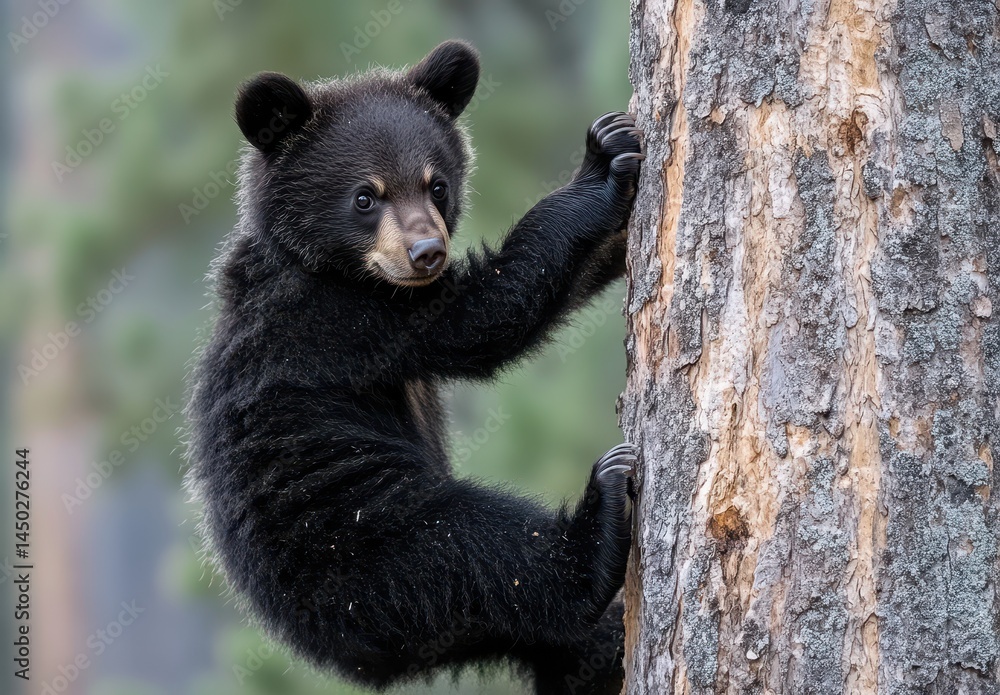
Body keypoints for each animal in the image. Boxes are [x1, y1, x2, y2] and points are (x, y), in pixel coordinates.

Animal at [184, 40, 643, 695]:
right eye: (365, 195)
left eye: (437, 185)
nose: (427, 252)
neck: (322, 264)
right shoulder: (341, 321)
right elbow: (485, 314)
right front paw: (604, 162)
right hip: (364, 543)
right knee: (483, 551)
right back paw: (600, 520)